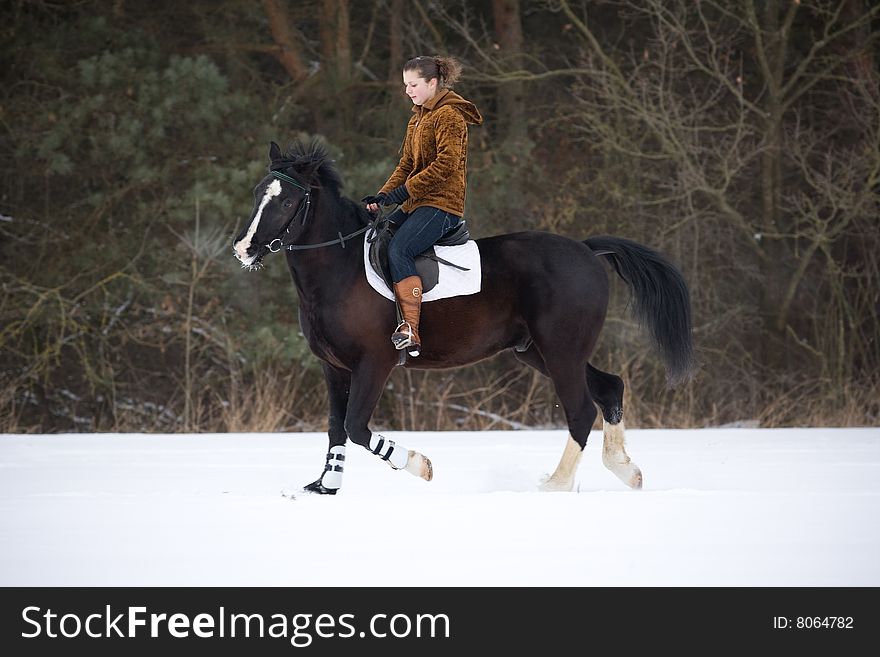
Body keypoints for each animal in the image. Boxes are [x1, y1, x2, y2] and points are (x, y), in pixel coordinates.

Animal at [232, 141, 696, 494]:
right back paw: (626, 471)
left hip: (561, 351)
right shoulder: (334, 368)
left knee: (581, 409)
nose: (244, 248)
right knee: (609, 388)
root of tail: (586, 250)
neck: (340, 269)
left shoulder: (374, 363)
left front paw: (420, 464)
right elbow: (336, 428)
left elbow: (357, 426)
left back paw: (556, 485)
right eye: (257, 192)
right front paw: (325, 487)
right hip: (540, 351)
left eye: (288, 200)